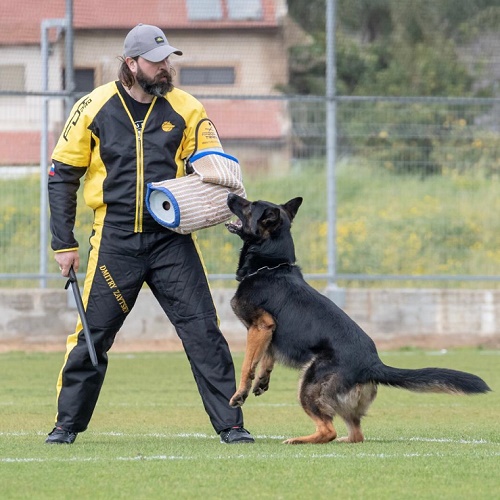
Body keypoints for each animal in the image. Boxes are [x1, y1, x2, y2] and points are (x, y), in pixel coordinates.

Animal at [225, 193, 490, 444]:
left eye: (250, 205)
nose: (229, 195)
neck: (271, 265)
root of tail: (372, 363)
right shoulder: (268, 330)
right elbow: (265, 358)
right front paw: (262, 380)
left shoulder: (260, 326)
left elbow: (247, 364)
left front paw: (240, 394)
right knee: (356, 434)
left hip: (309, 383)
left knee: (328, 430)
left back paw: (299, 440)